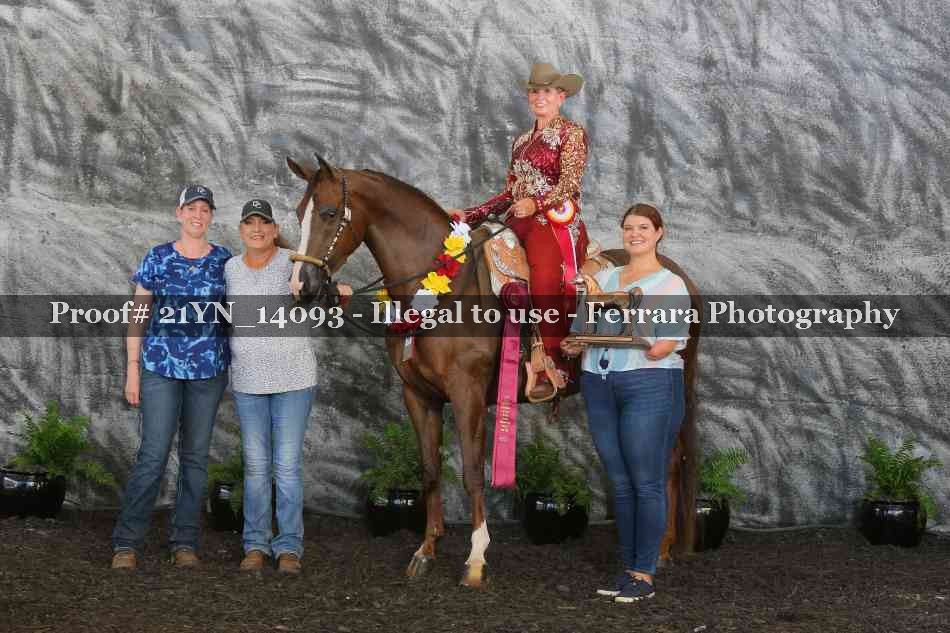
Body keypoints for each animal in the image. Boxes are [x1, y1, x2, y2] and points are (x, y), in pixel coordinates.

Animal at [285, 154, 699, 587]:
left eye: (329, 213)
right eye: (299, 213)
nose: (301, 286)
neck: (444, 290)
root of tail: (679, 273)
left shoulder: (467, 394)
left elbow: (470, 472)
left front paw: (476, 557)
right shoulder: (418, 395)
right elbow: (430, 470)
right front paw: (425, 550)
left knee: (670, 462)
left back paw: (662, 549)